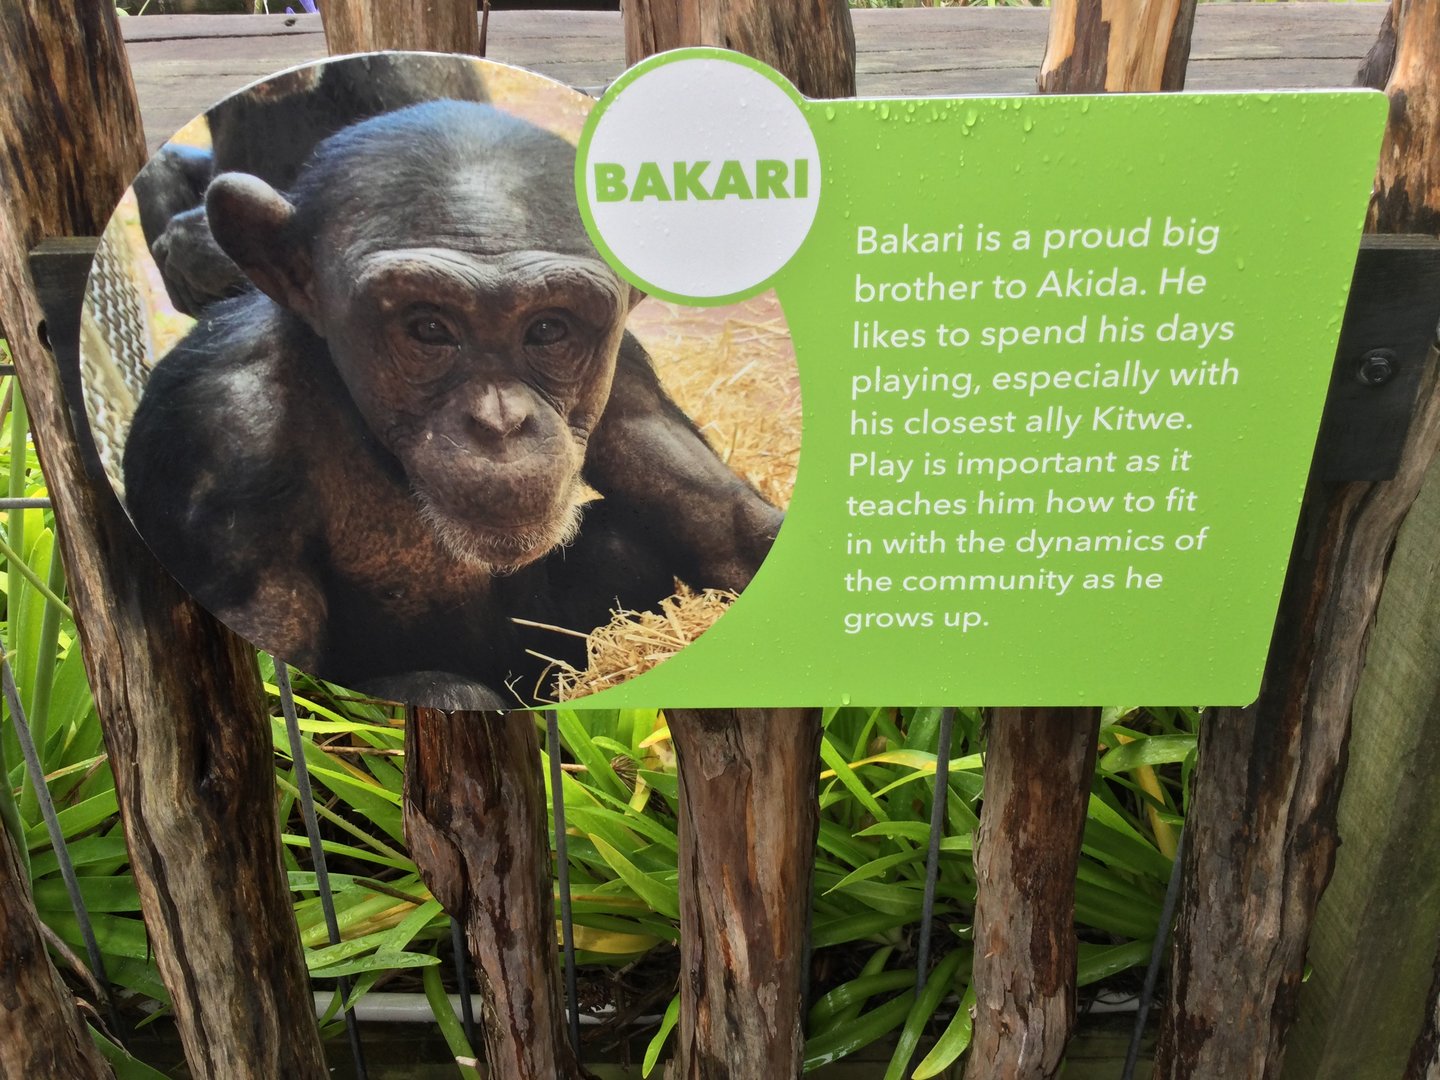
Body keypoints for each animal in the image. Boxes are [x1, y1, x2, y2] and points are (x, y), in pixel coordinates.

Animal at [120, 100, 782, 708]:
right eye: (428, 328)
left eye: (549, 329)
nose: (500, 422)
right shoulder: (218, 449)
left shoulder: (628, 378)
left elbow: (733, 532)